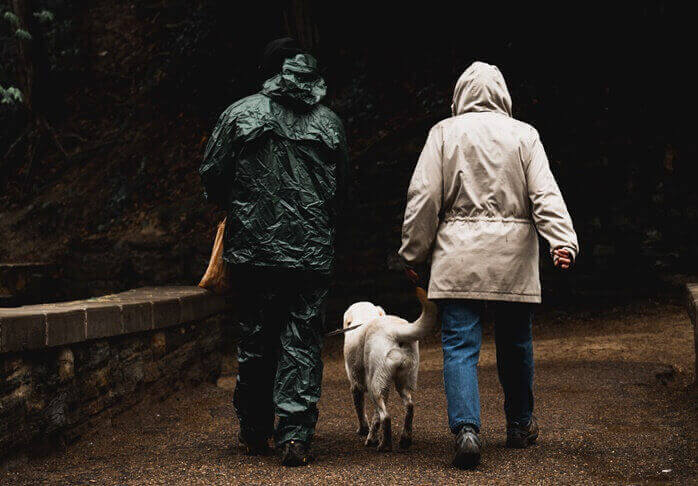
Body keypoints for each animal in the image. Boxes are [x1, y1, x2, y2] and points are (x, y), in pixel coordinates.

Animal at [342, 288, 436, 452]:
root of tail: (395, 331)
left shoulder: (355, 386)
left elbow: (361, 411)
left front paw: (363, 430)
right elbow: (375, 416)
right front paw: (371, 436)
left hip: (375, 386)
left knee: (386, 416)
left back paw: (384, 444)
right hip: (401, 382)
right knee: (409, 406)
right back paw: (404, 439)